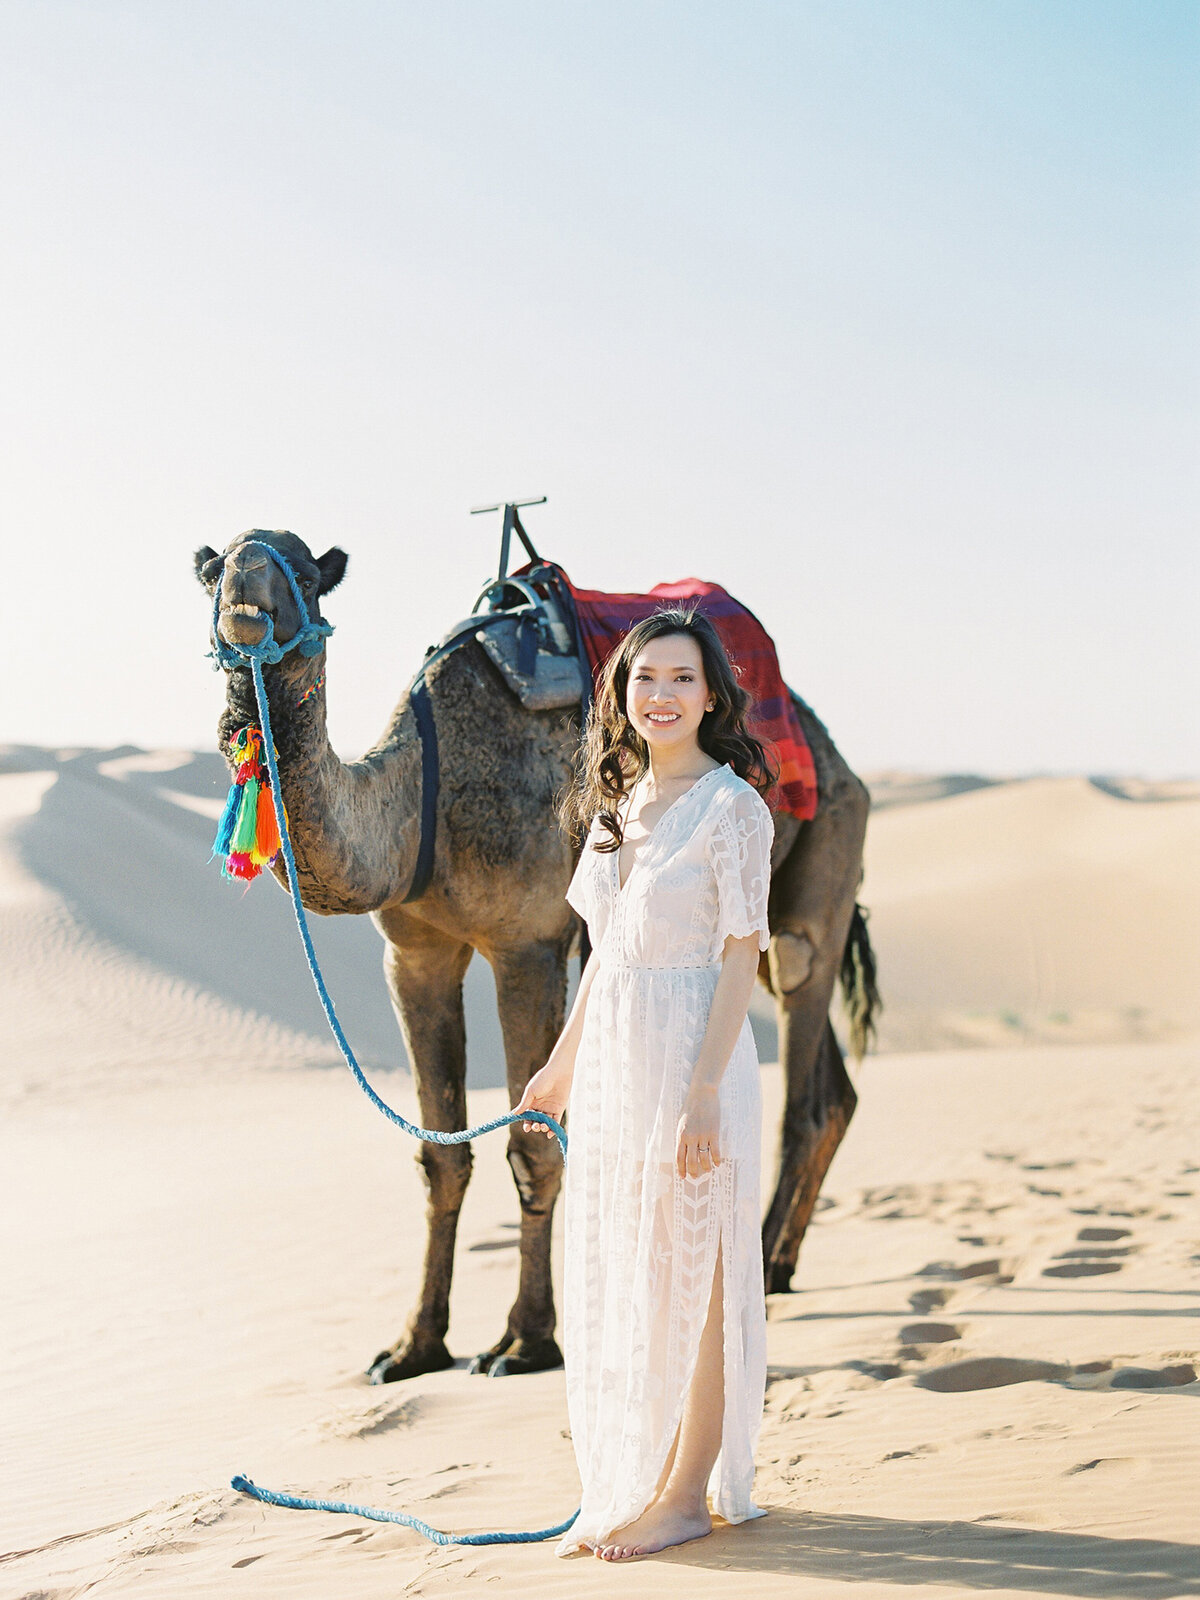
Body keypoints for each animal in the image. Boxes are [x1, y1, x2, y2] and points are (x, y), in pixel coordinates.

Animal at [195, 521, 876, 1376]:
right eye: (211, 571)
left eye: (307, 576)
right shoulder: (415, 952)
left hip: (823, 851)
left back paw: (751, 1274)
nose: (246, 593)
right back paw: (775, 1267)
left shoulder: (527, 945)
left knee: (804, 1046)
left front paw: (524, 1339)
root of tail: (840, 761)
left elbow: (532, 1141)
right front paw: (414, 1344)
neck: (422, 798)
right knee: (829, 1084)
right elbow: (440, 1157)